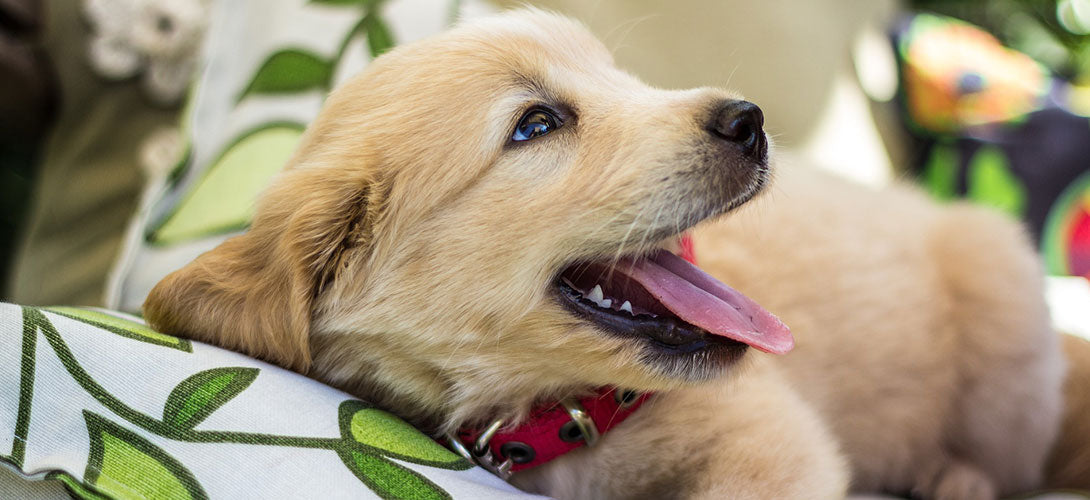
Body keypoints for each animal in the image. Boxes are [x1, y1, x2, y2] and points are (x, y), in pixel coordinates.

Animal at [142, 8, 1063, 500]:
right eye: (536, 125)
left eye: (620, 77)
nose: (750, 121)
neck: (566, 416)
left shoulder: (775, 441)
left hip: (1007, 341)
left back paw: (956, 475)